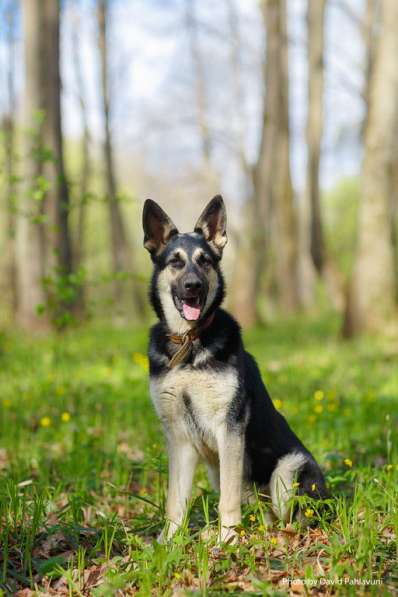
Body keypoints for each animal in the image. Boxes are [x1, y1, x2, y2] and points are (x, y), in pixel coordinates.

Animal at [143, 194, 326, 540]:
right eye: (175, 262)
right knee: (261, 513)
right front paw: (169, 541)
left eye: (205, 261)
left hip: (287, 470)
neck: (190, 343)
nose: (193, 286)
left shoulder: (229, 429)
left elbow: (227, 498)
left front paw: (227, 538)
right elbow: (175, 500)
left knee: (291, 517)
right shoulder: (180, 439)